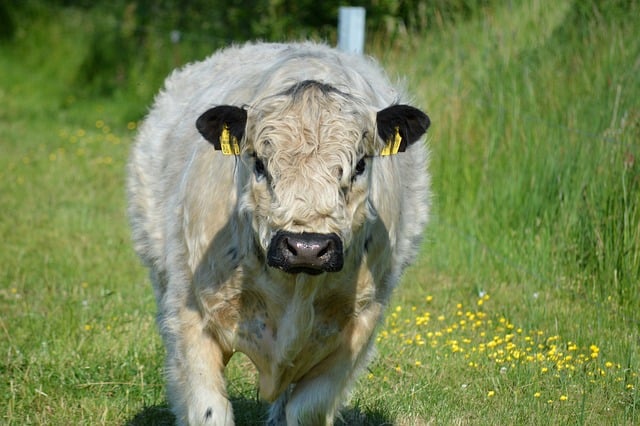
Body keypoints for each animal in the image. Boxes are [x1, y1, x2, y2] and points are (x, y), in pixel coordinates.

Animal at [126, 40, 430, 426]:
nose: (307, 246)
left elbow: (306, 409)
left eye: (360, 165)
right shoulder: (190, 313)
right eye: (258, 163)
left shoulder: (358, 329)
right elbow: (209, 408)